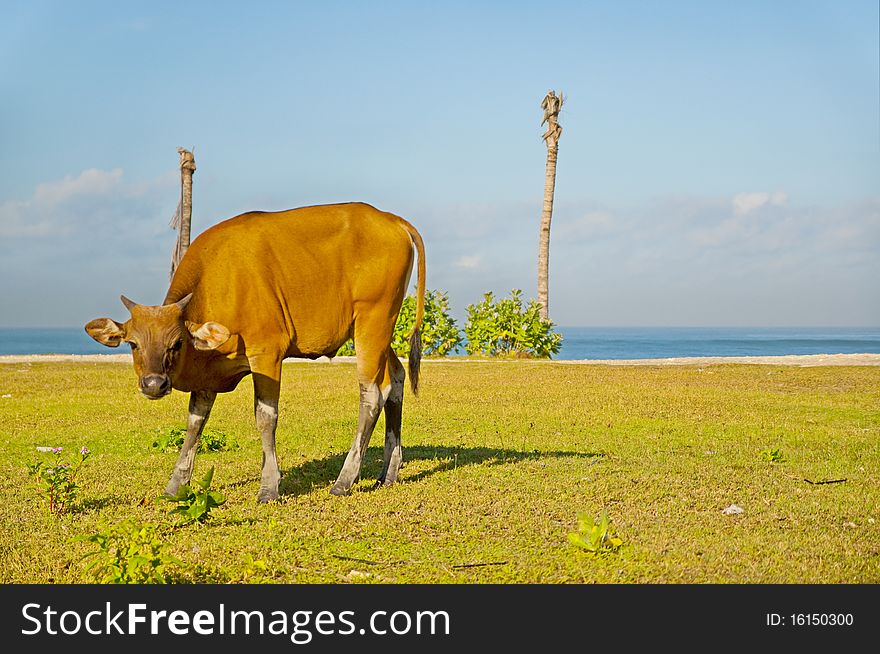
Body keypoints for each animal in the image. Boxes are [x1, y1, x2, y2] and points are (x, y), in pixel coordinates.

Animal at [86, 202, 426, 504]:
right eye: (133, 344)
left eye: (176, 342)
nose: (154, 384)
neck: (221, 281)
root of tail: (392, 219)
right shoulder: (208, 376)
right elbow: (195, 423)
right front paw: (175, 485)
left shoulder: (267, 353)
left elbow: (265, 417)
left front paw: (269, 487)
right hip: (382, 327)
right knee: (395, 379)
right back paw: (388, 472)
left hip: (372, 320)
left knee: (371, 394)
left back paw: (344, 480)